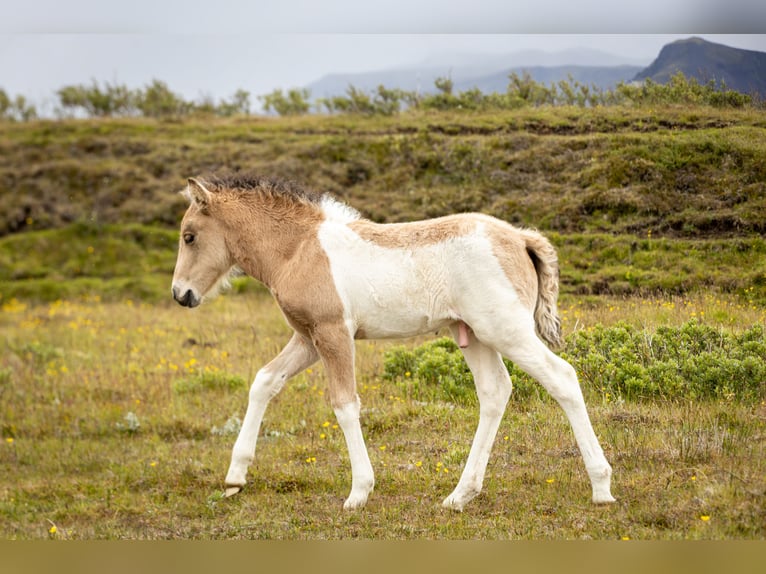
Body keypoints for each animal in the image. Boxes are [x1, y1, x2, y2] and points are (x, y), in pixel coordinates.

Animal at [171, 174, 615, 511]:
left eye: (189, 236)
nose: (181, 294)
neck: (299, 249)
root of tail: (521, 239)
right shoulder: (308, 337)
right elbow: (264, 381)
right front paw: (235, 477)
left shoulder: (333, 333)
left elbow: (344, 404)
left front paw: (359, 492)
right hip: (473, 336)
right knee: (495, 392)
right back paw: (460, 495)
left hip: (506, 330)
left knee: (562, 377)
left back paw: (601, 486)